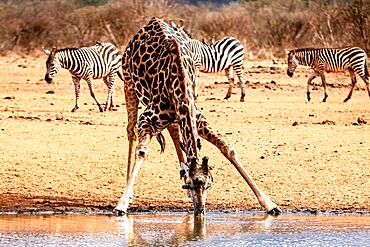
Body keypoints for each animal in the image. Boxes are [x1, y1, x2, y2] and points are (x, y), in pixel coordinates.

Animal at [115, 17, 280, 216]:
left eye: (209, 184)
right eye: (192, 185)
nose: (200, 210)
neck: (178, 83)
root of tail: (151, 22)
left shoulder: (197, 118)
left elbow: (228, 148)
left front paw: (269, 204)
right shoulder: (146, 120)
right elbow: (142, 151)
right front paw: (123, 203)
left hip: (173, 115)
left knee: (174, 131)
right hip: (129, 84)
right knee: (130, 130)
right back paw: (128, 190)